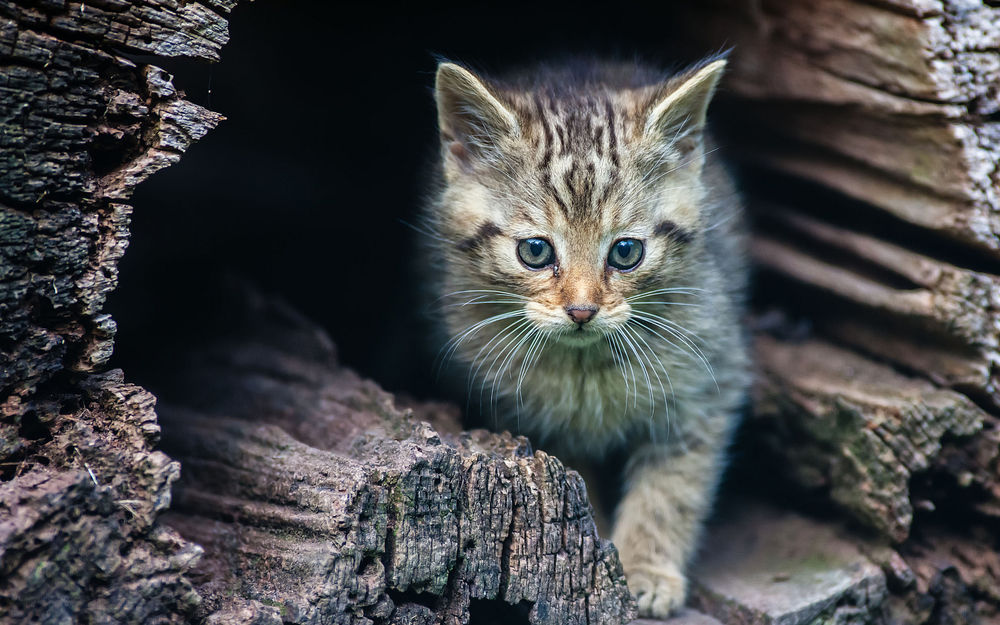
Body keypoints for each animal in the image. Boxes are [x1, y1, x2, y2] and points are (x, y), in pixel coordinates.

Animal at [426, 57, 748, 616]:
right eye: (535, 251)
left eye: (626, 252)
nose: (582, 309)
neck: (586, 365)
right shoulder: (529, 420)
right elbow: (571, 487)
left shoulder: (706, 383)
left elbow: (672, 488)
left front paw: (646, 570)